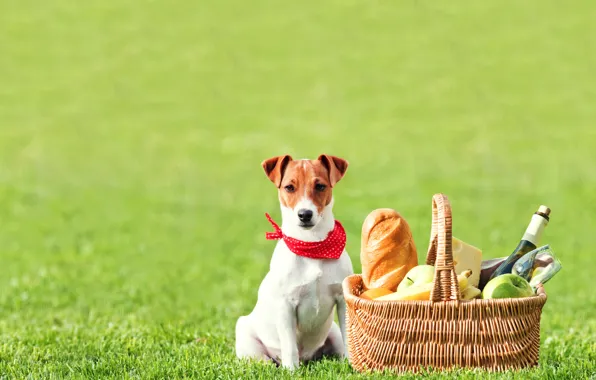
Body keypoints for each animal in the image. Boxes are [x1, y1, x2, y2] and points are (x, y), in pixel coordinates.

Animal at [234, 153, 354, 370]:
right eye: (289, 187)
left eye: (320, 186)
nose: (305, 214)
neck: (312, 246)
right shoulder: (285, 306)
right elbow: (289, 346)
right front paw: (291, 371)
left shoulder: (342, 300)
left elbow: (350, 336)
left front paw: (353, 367)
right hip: (246, 335)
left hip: (332, 331)